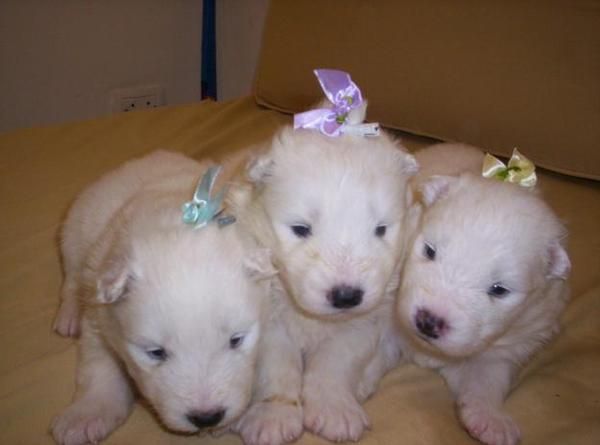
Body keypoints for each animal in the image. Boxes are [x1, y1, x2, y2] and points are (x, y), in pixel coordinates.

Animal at [50, 150, 274, 444]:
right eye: (156, 353)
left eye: (236, 340)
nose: (206, 417)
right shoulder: (98, 312)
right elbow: (98, 366)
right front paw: (85, 416)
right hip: (74, 233)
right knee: (71, 280)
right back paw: (68, 317)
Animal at [230, 70, 418, 444]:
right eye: (301, 229)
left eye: (381, 229)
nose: (346, 296)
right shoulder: (268, 320)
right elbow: (277, 367)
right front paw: (272, 417)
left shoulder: (363, 321)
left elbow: (335, 363)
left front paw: (335, 411)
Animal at [396, 142, 568, 444]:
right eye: (429, 251)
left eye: (499, 290)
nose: (428, 321)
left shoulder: (508, 346)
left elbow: (487, 378)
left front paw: (492, 420)